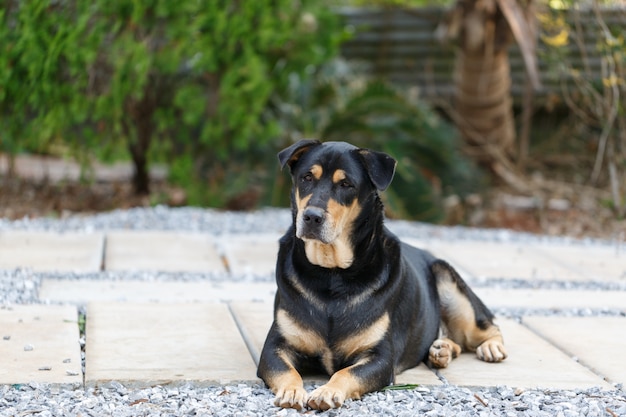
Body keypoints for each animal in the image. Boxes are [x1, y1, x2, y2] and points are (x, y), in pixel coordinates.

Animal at [256, 140, 504, 410]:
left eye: (346, 184)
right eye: (307, 178)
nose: (311, 216)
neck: (331, 273)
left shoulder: (381, 358)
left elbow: (346, 373)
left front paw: (327, 391)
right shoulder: (275, 347)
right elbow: (285, 370)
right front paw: (292, 391)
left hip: (448, 280)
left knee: (487, 326)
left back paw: (490, 347)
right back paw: (442, 350)